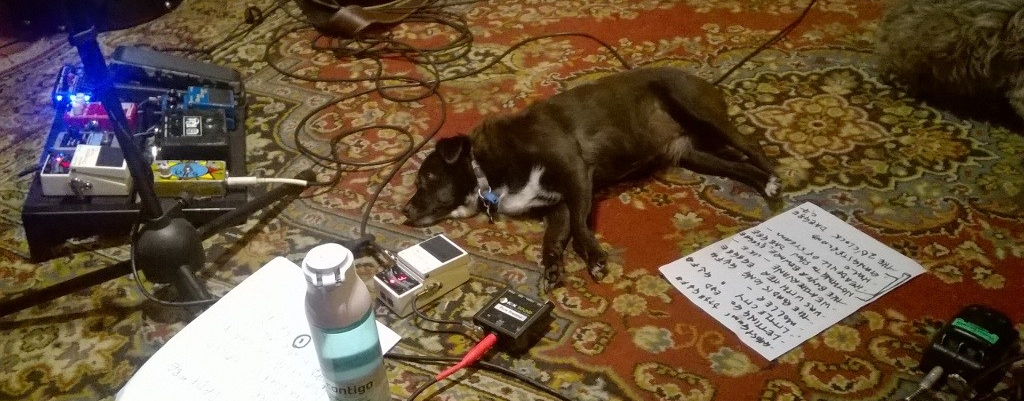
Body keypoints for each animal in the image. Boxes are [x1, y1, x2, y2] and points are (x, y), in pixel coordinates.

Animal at [402, 66, 779, 289]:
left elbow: (581, 227)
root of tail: (703, 81)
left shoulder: (576, 174)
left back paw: (775, 181)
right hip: (694, 155)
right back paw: (764, 182)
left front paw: (595, 260)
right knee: (739, 167)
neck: (486, 167)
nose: (404, 210)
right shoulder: (556, 205)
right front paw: (552, 269)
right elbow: (554, 239)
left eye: (426, 180)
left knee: (750, 144)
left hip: (694, 108)